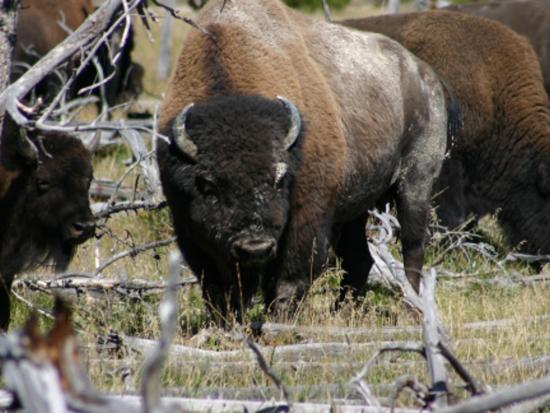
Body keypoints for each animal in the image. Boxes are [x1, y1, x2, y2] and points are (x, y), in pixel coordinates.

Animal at [156, 0, 462, 320]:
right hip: (356, 206)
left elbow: (289, 279)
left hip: (415, 184)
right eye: (208, 185)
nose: (255, 247)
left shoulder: (306, 219)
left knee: (412, 249)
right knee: (359, 258)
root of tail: (428, 75)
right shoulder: (188, 227)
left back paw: (411, 310)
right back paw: (342, 311)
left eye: (279, 179)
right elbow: (218, 287)